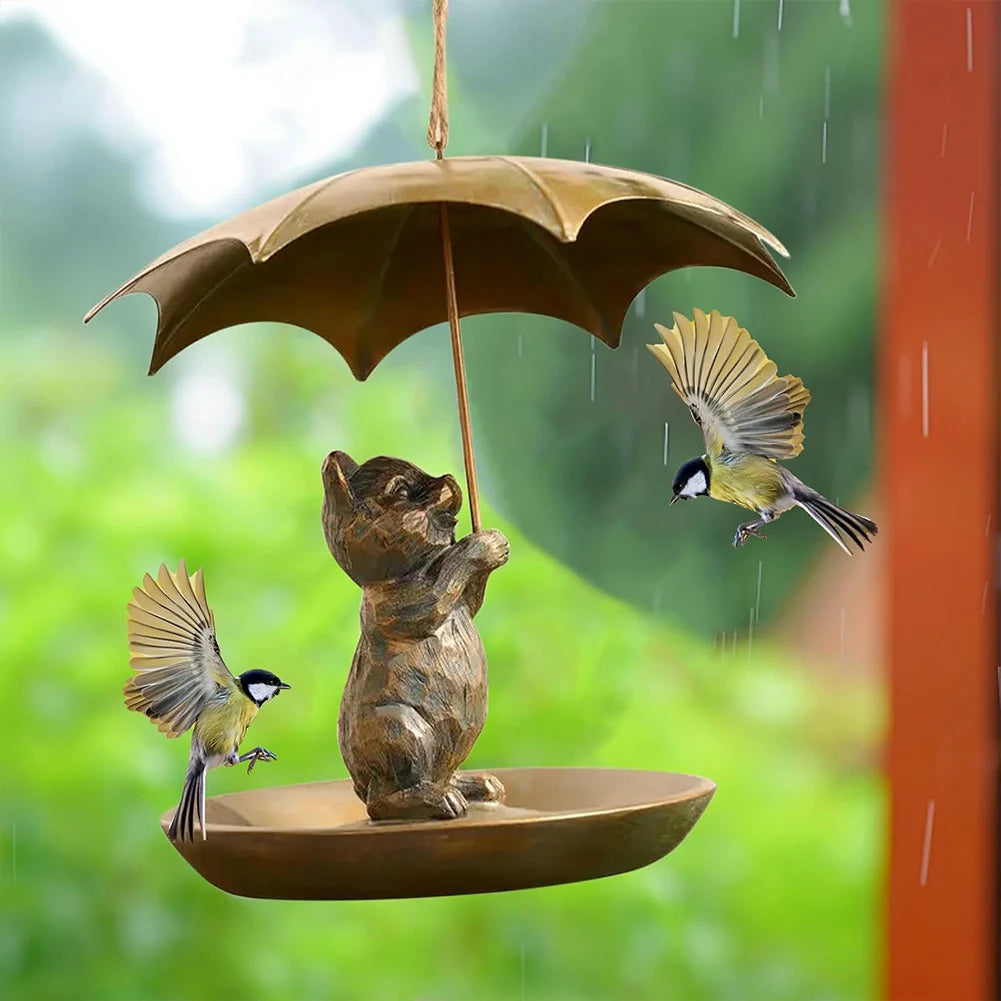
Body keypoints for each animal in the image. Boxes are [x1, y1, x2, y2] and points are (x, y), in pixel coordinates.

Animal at [321, 450, 509, 821]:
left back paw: (475, 785)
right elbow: (442, 584)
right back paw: (440, 801)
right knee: (383, 803)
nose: (449, 478)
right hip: (401, 730)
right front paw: (484, 544)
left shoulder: (464, 603)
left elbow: (472, 598)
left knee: (442, 775)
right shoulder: (397, 608)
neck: (409, 570)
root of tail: (359, 785)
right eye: (403, 491)